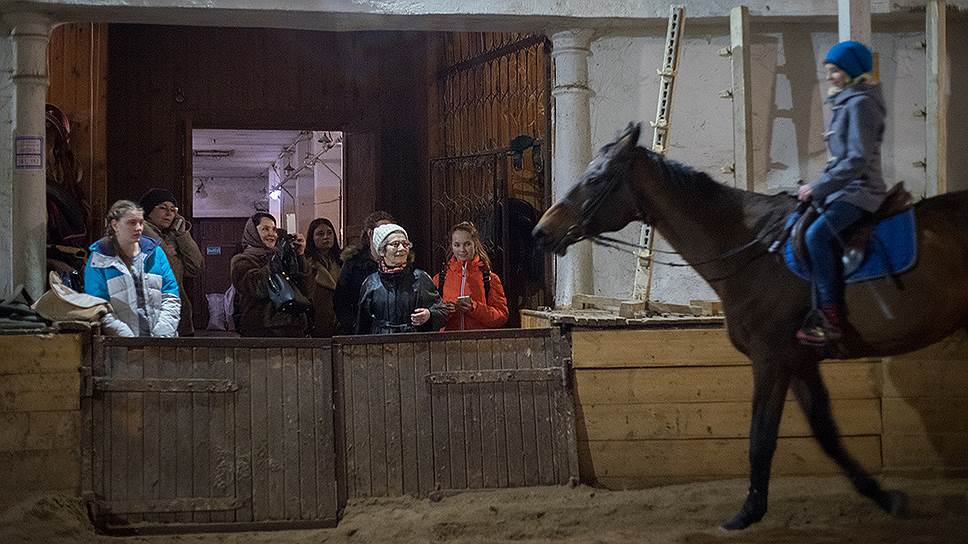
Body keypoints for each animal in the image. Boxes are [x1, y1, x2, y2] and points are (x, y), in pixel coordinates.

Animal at [532, 121, 968, 528]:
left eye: (595, 179)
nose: (542, 231)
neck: (755, 250)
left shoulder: (770, 359)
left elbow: (761, 438)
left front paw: (748, 512)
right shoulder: (799, 361)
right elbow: (826, 433)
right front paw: (883, 496)